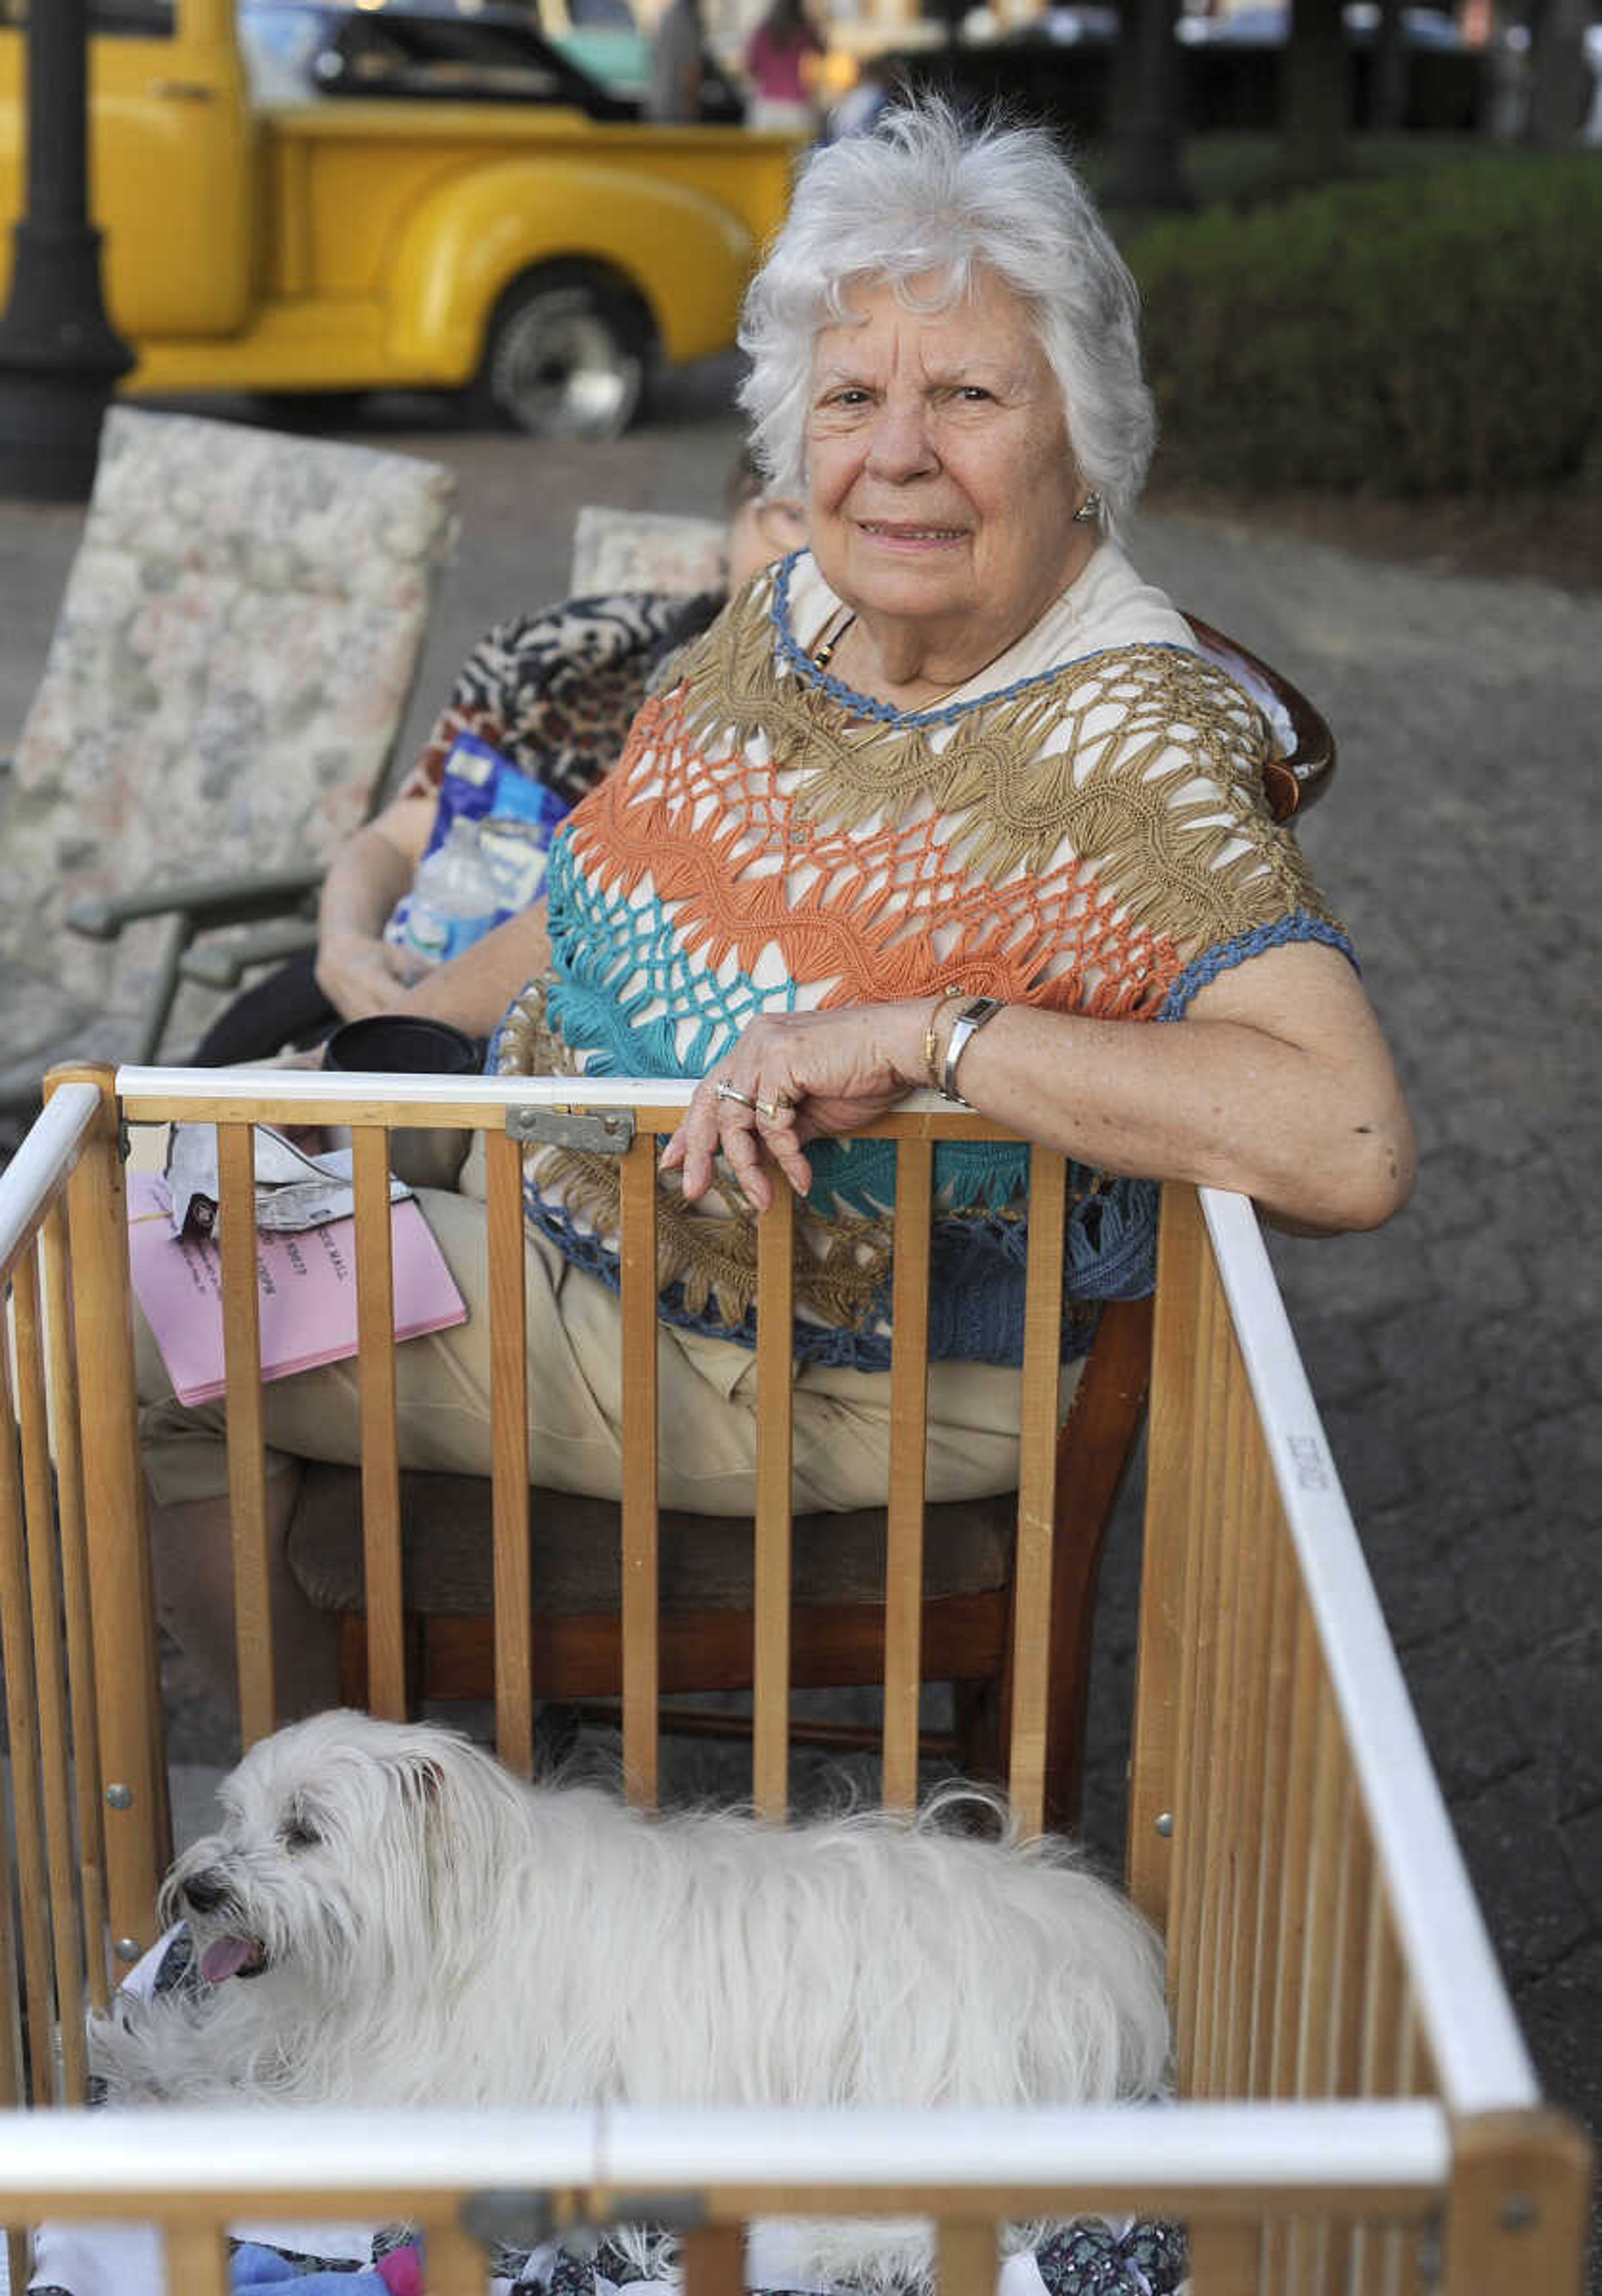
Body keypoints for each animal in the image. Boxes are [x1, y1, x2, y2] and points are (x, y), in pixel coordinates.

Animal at [93, 1717, 1166, 2286]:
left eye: (305, 1830)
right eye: (233, 1817)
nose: (200, 1889)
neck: (437, 1929)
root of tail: (1110, 1960)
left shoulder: (401, 2098)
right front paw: (137, 2046)